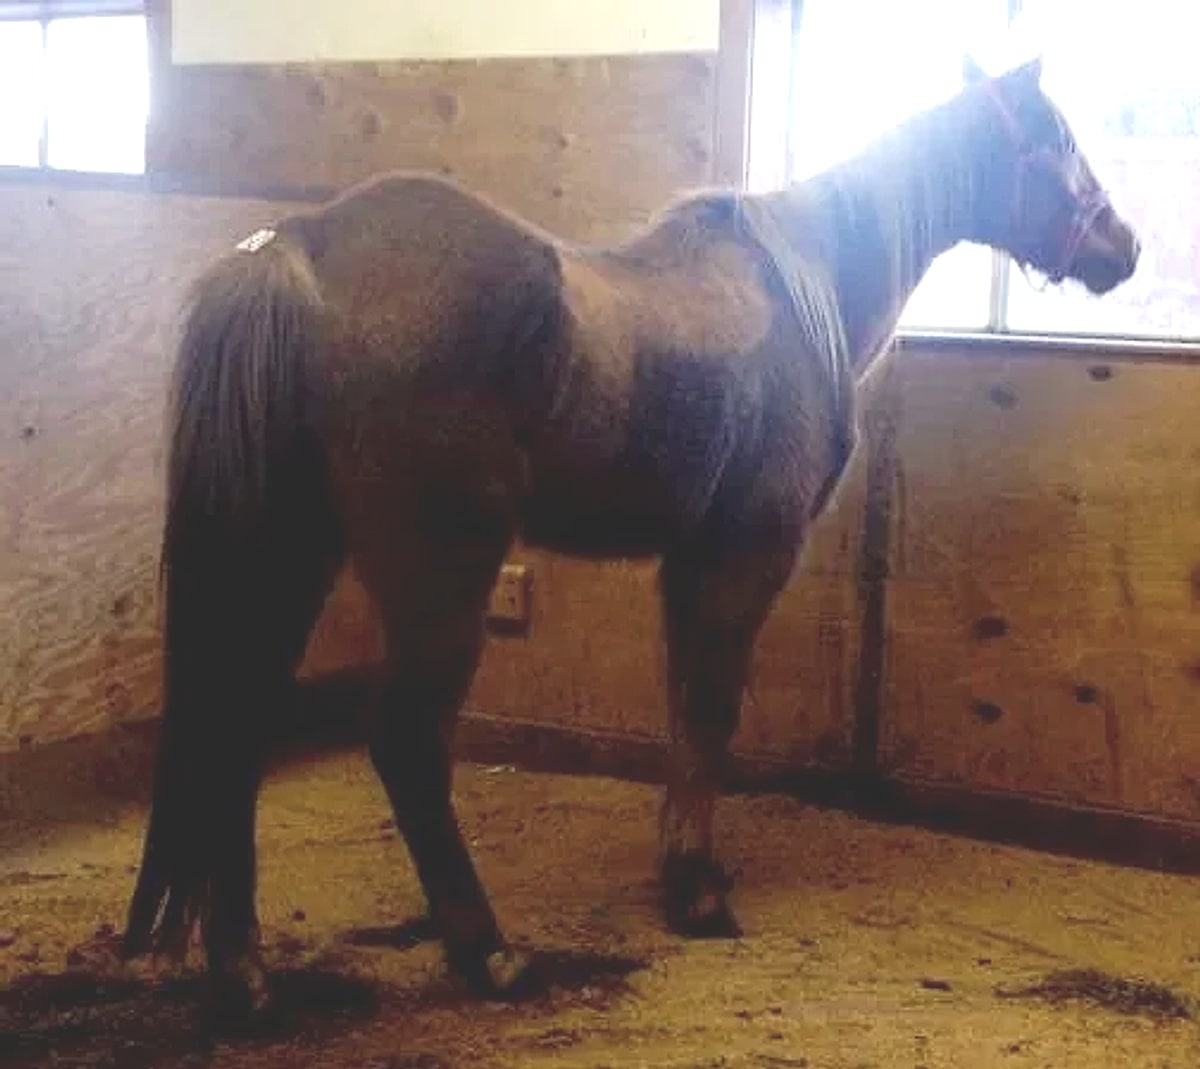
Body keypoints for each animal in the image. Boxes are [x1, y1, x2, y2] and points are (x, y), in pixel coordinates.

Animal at [119, 55, 1139, 1017]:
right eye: (1058, 139)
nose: (1124, 248)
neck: (804, 286)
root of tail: (301, 248)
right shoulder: (743, 559)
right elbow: (711, 712)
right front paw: (697, 894)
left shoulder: (688, 567)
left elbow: (683, 711)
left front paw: (680, 871)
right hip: (439, 579)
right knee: (404, 744)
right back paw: (488, 954)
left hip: (290, 560)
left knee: (239, 724)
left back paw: (243, 971)